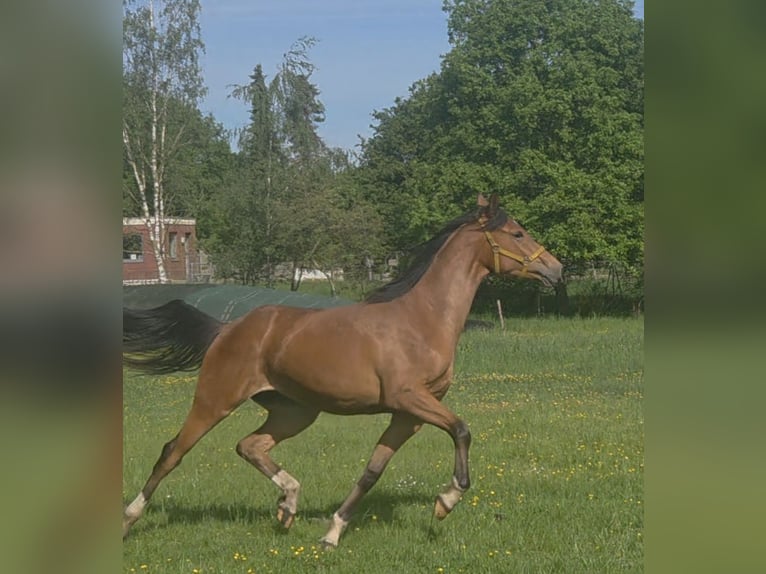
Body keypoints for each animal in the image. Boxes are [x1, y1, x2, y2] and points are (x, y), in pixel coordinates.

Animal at [122, 193, 563, 548]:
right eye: (518, 233)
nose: (556, 270)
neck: (422, 319)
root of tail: (227, 327)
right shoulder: (411, 399)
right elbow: (461, 429)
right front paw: (447, 500)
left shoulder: (408, 415)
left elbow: (372, 472)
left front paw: (332, 532)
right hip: (215, 400)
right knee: (172, 452)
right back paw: (129, 520)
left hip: (295, 411)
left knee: (250, 445)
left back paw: (288, 506)